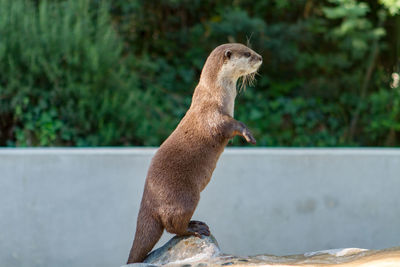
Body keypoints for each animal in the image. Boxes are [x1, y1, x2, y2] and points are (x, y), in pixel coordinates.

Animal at [126, 44, 260, 264]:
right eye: (248, 53)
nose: (260, 57)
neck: (215, 93)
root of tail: (149, 202)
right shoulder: (212, 115)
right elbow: (230, 125)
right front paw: (248, 133)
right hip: (186, 197)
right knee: (173, 225)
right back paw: (194, 228)